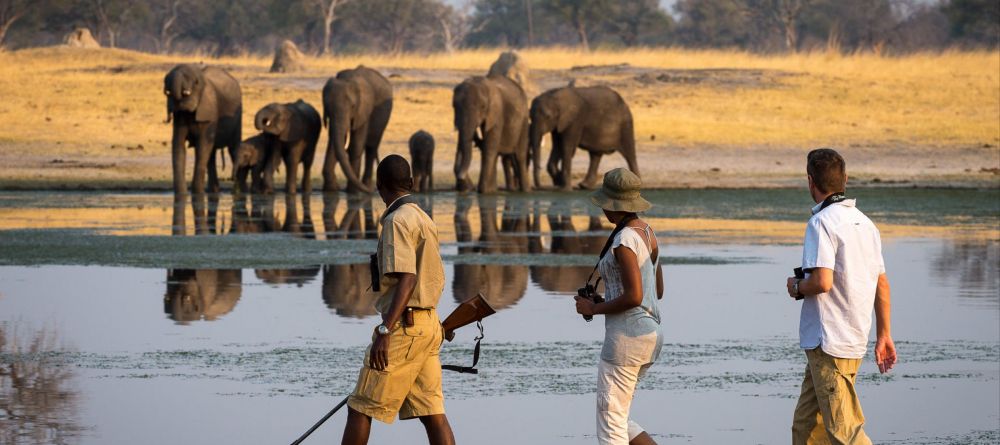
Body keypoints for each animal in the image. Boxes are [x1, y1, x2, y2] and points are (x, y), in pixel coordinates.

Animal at [165, 62, 243, 194]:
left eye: (195, 82)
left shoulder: (209, 111)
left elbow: (202, 145)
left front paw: (196, 193)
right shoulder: (179, 115)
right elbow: (178, 145)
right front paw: (182, 195)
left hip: (238, 117)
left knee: (233, 149)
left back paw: (237, 192)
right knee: (211, 155)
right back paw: (213, 191)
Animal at [324, 65, 394, 193]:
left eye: (352, 106)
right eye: (326, 106)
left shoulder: (363, 110)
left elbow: (356, 144)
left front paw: (353, 191)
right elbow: (334, 142)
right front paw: (331, 189)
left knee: (371, 147)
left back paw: (367, 185)